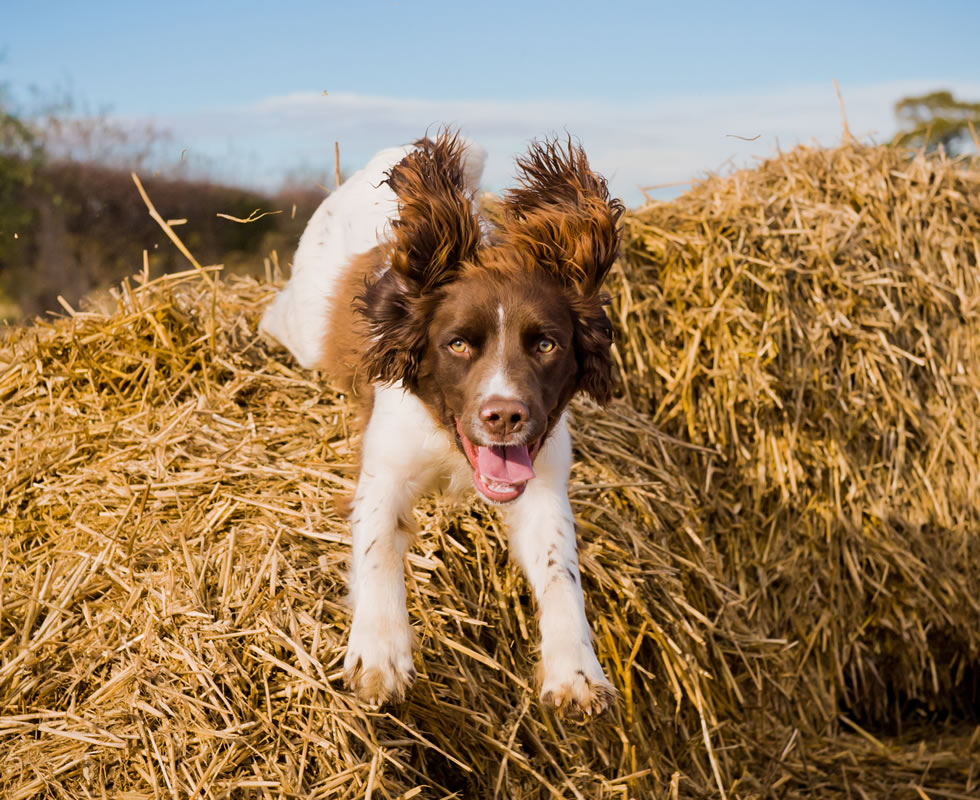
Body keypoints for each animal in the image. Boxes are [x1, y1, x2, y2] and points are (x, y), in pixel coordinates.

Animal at [260, 130, 624, 712]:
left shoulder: (543, 486)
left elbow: (559, 569)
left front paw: (576, 670)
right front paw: (380, 655)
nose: (505, 416)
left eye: (546, 344)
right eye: (457, 344)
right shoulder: (384, 472)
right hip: (305, 325)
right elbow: (378, 548)